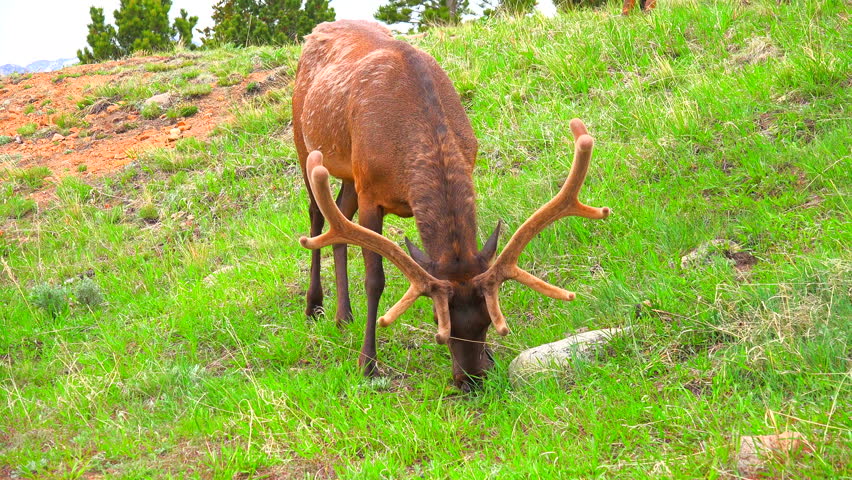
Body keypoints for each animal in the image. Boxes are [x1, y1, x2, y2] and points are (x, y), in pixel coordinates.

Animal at [293, 20, 610, 391]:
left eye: (488, 318)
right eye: (437, 319)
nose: (471, 379)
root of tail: (319, 29)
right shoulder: (371, 191)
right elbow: (375, 280)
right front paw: (368, 363)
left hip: (347, 172)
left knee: (341, 215)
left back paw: (344, 315)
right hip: (304, 142)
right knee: (318, 217)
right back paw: (315, 305)